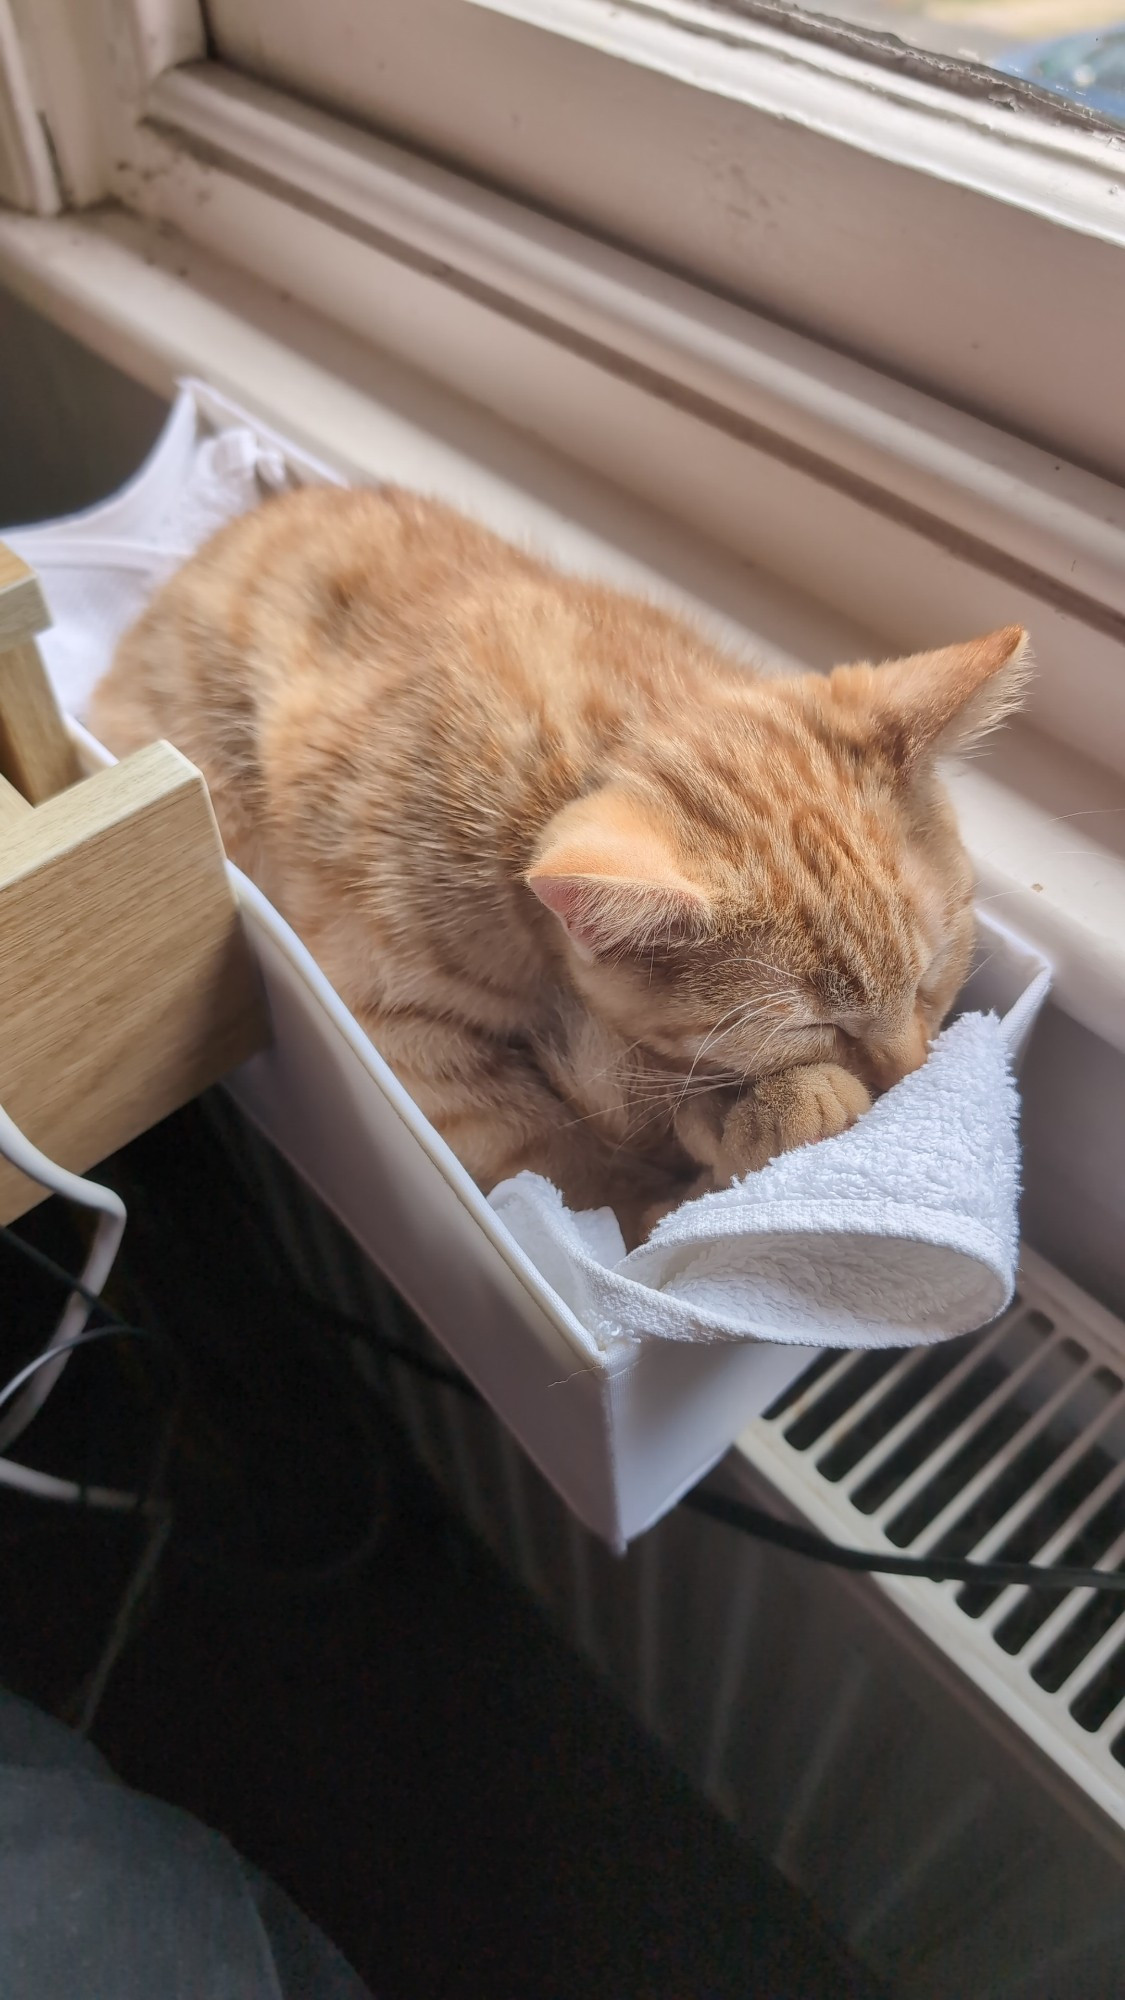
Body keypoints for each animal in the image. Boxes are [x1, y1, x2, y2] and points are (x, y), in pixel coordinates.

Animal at [89, 482, 1024, 1240]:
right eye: (812, 1027)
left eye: (933, 975)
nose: (907, 1078)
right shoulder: (400, 1029)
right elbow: (555, 1157)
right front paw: (653, 1203)